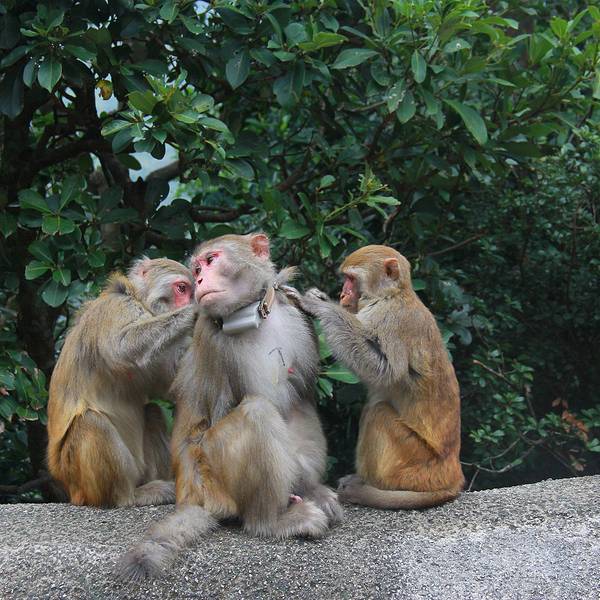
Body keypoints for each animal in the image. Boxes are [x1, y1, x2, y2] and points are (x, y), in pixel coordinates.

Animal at [47, 257, 198, 508]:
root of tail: (71, 491)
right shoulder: (117, 308)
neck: (139, 300)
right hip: (81, 480)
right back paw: (126, 497)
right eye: (182, 288)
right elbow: (122, 346)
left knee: (152, 411)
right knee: (90, 421)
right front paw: (194, 314)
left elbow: (172, 387)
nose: (191, 301)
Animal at [117, 233, 342, 581]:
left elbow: (301, 398)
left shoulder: (299, 322)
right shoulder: (214, 341)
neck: (256, 316)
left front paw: (313, 489)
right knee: (257, 413)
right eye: (196, 269)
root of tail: (192, 494)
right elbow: (225, 410)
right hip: (214, 482)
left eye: (211, 261)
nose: (199, 280)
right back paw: (270, 521)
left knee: (299, 410)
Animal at [291, 245, 464, 510]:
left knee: (378, 412)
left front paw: (321, 307)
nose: (342, 294)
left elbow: (385, 370)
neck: (391, 296)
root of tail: (452, 475)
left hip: (414, 465)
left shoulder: (392, 320)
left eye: (351, 279)